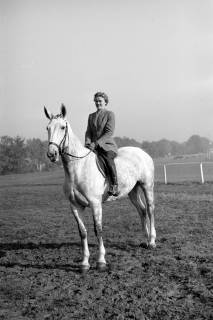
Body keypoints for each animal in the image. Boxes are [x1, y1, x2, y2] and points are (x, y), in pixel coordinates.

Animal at [43, 104, 156, 272]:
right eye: (47, 128)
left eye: (63, 127)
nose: (52, 154)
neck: (77, 168)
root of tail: (142, 152)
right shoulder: (75, 205)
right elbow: (82, 232)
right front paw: (84, 263)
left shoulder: (95, 203)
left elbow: (98, 229)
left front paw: (101, 261)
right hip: (133, 191)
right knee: (142, 210)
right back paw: (146, 240)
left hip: (146, 186)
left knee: (149, 209)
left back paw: (152, 241)